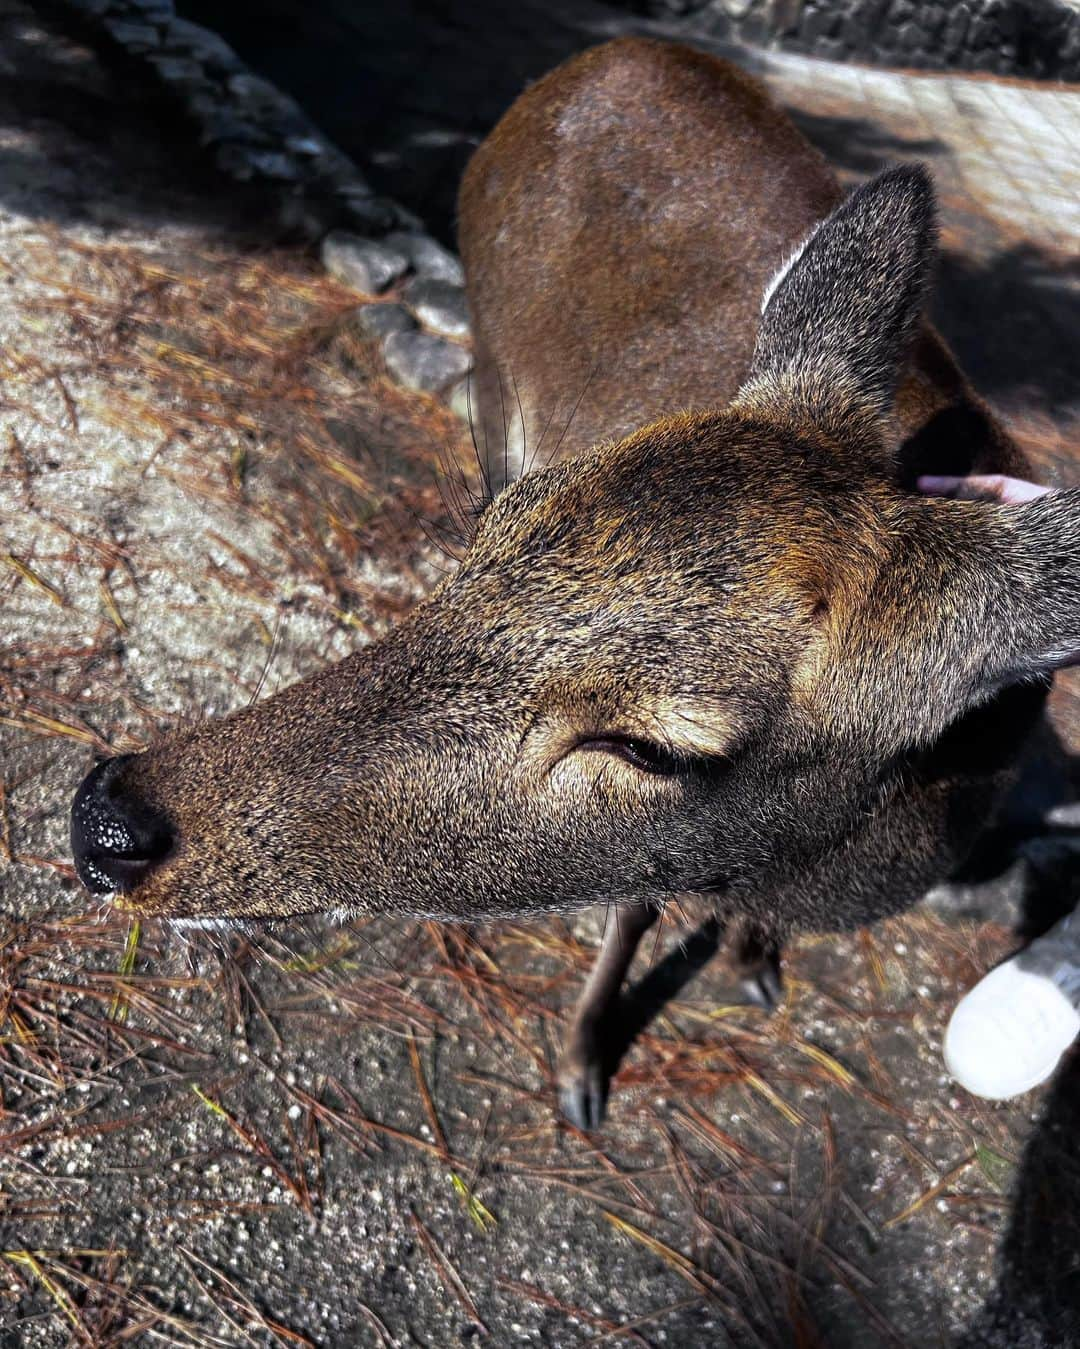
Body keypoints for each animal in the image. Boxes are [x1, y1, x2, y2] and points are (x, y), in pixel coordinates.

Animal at [71, 36, 1078, 1127]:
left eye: (654, 745)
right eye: (491, 531)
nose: (106, 819)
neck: (826, 869)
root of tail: (615, 50)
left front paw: (751, 967)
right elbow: (631, 909)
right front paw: (583, 1061)